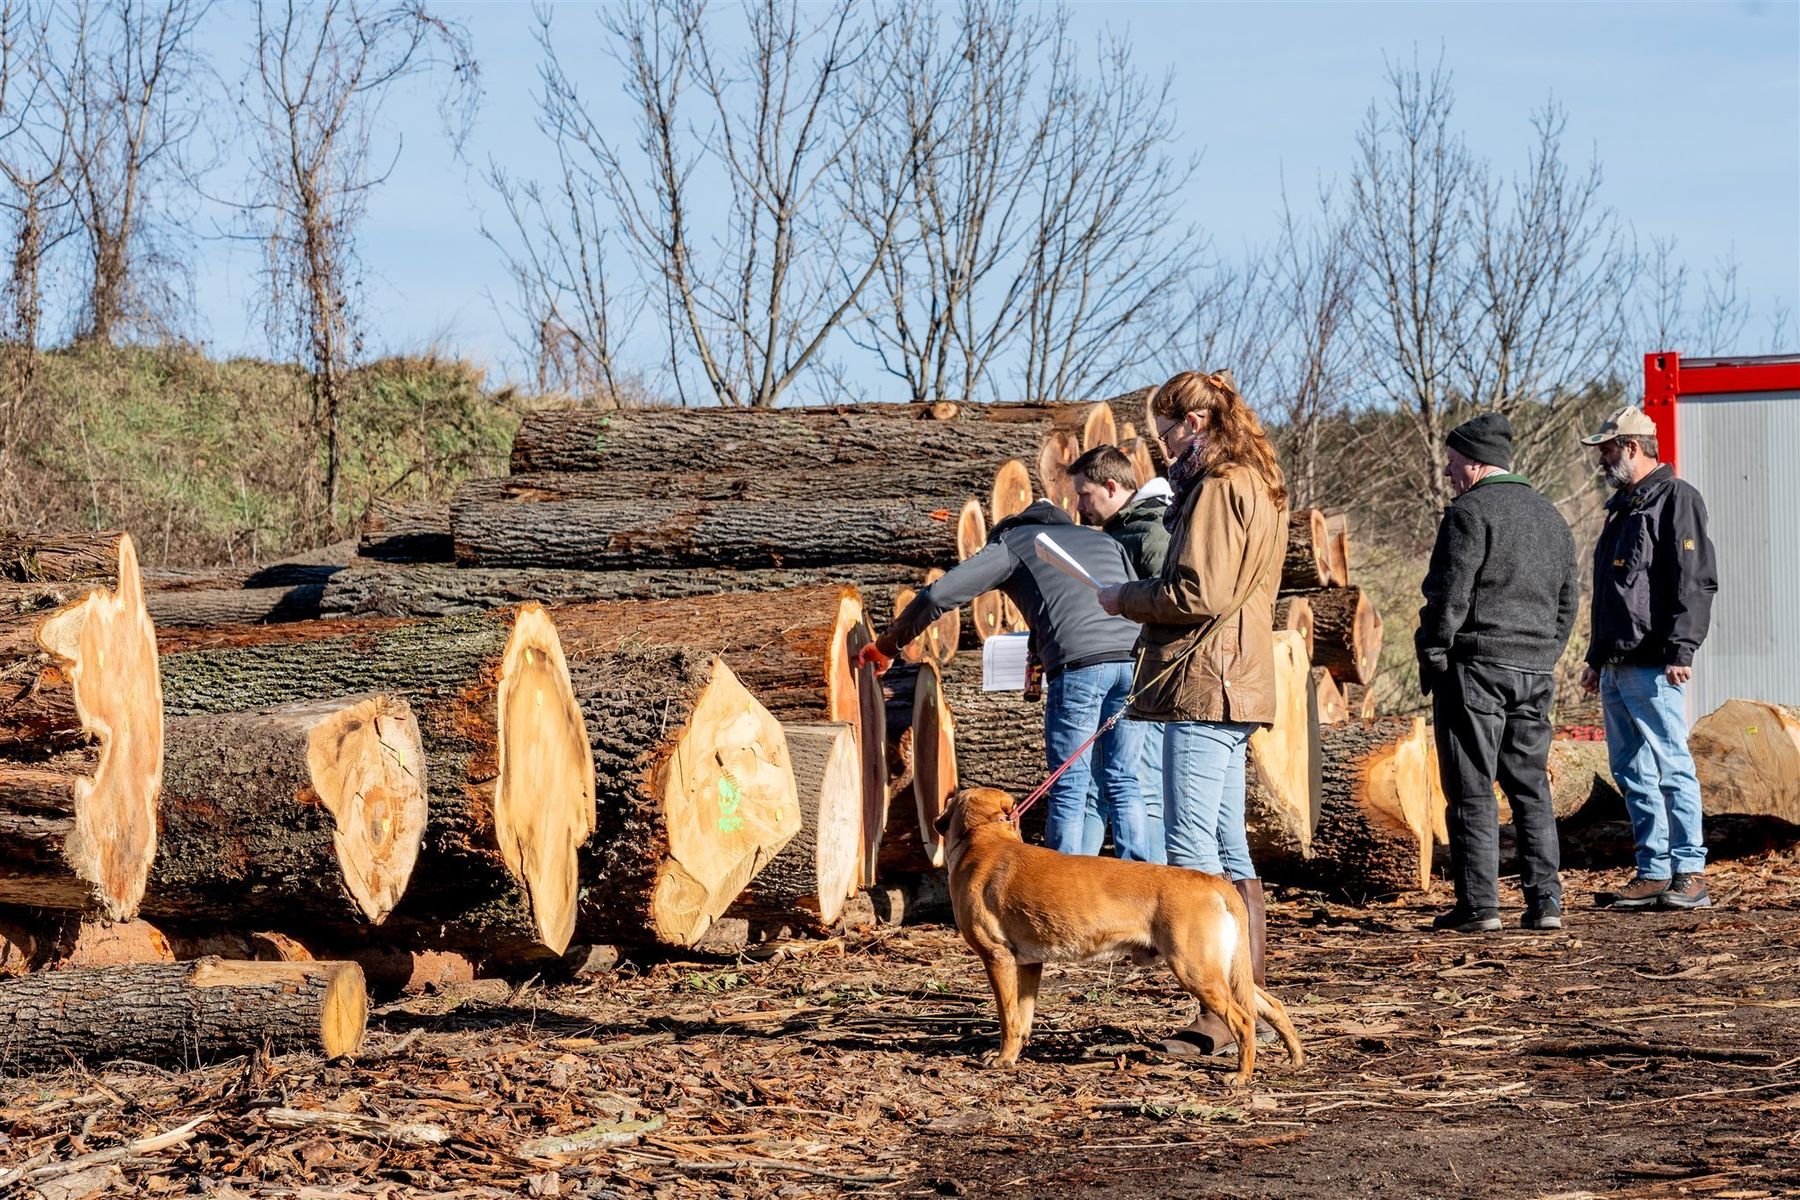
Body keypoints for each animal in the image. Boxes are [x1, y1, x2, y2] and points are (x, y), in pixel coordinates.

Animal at [936, 788, 1303, 1086]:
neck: (985, 841)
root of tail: (1215, 883)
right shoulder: (1030, 963)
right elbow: (1023, 1017)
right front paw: (1015, 1055)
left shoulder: (997, 957)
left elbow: (1008, 1017)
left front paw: (1002, 1059)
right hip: (1224, 970)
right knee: (1273, 1005)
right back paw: (1295, 1056)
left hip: (1195, 969)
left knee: (1243, 1020)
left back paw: (1241, 1076)